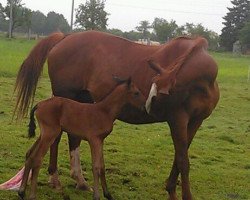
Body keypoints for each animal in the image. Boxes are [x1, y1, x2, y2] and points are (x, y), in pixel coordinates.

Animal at [18, 78, 146, 200]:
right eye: (136, 93)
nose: (145, 107)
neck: (105, 111)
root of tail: (39, 104)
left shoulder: (101, 140)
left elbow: (102, 166)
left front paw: (108, 194)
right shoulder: (94, 140)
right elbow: (96, 166)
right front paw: (97, 196)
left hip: (44, 134)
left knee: (29, 154)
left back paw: (21, 192)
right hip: (50, 134)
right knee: (37, 158)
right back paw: (32, 195)